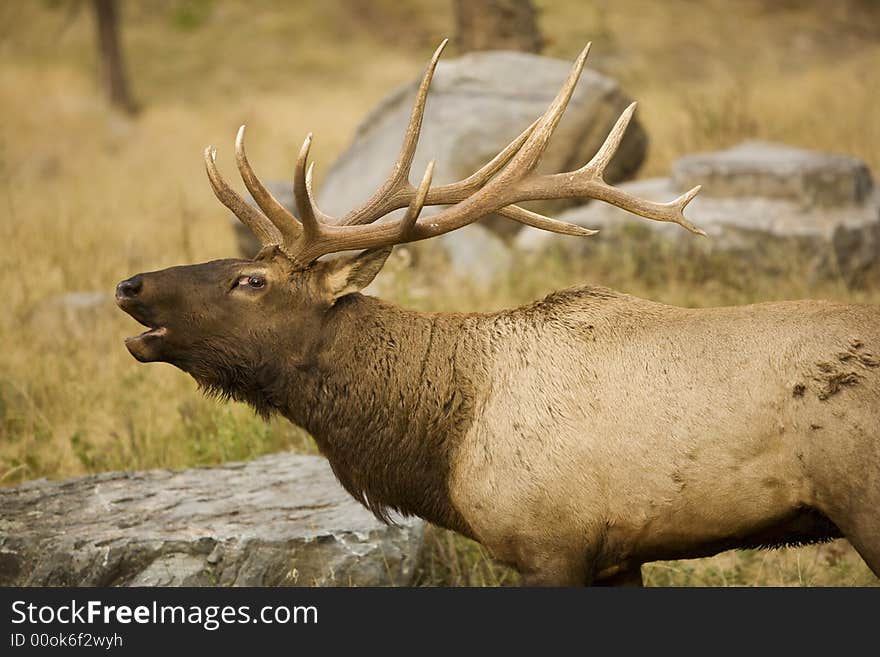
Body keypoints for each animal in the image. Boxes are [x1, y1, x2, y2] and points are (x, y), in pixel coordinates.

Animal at [118, 42, 880, 584]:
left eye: (250, 279)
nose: (130, 285)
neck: (442, 444)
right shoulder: (618, 557)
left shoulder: (552, 543)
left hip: (863, 501)